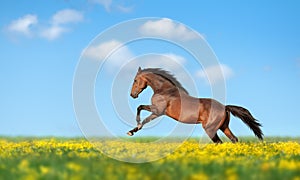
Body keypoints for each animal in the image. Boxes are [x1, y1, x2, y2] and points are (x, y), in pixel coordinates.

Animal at [126, 67, 262, 143]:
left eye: (135, 80)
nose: (132, 95)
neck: (165, 90)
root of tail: (224, 107)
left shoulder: (158, 111)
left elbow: (142, 112)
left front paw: (133, 130)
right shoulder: (157, 111)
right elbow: (141, 111)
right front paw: (132, 130)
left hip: (210, 129)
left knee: (219, 142)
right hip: (224, 127)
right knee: (234, 139)